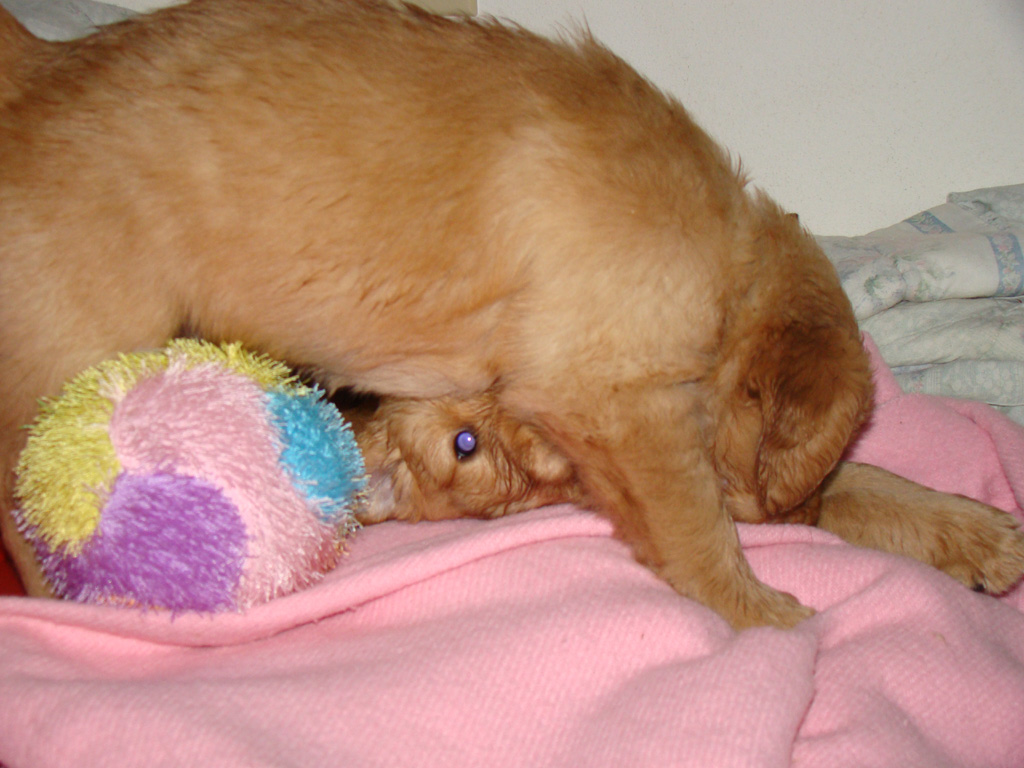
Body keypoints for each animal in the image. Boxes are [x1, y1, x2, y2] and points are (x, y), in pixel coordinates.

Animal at [2, 0, 1024, 626]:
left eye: (803, 503)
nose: (800, 523)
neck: (728, 258)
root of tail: (36, 74)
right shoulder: (622, 405)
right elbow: (698, 531)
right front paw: (762, 613)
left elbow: (877, 480)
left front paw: (970, 531)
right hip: (75, 367)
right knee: (31, 516)